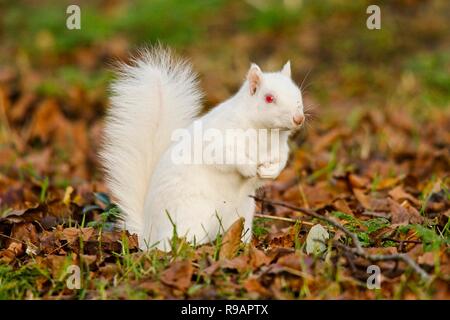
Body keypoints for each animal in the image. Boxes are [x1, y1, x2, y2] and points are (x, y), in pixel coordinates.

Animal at [102, 47, 306, 251]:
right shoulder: (218, 139)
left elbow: (280, 162)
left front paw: (269, 172)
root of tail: (148, 235)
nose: (299, 119)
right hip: (190, 215)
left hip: (242, 213)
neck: (267, 133)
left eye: (298, 94)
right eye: (269, 98)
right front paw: (248, 168)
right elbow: (226, 156)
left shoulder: (279, 149)